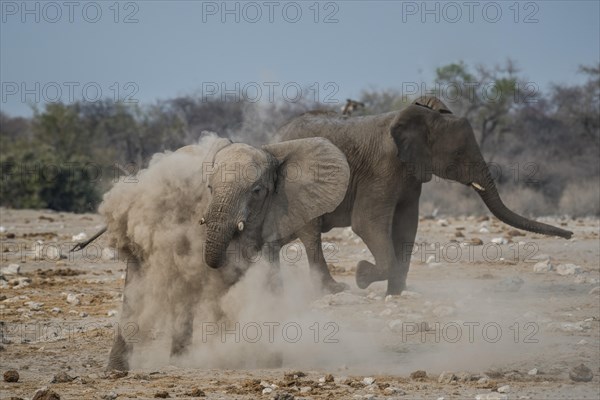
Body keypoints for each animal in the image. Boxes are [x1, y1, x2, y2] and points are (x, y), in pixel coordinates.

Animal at [98, 136, 350, 370]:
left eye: (257, 191)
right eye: (209, 188)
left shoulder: (277, 214)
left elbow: (269, 275)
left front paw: (270, 359)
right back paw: (122, 369)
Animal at [278, 96, 576, 296]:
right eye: (459, 154)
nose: (570, 234)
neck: (424, 118)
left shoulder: (411, 171)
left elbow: (407, 225)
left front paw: (394, 293)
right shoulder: (382, 168)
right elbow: (367, 223)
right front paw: (362, 276)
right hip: (300, 183)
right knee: (311, 233)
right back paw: (334, 289)